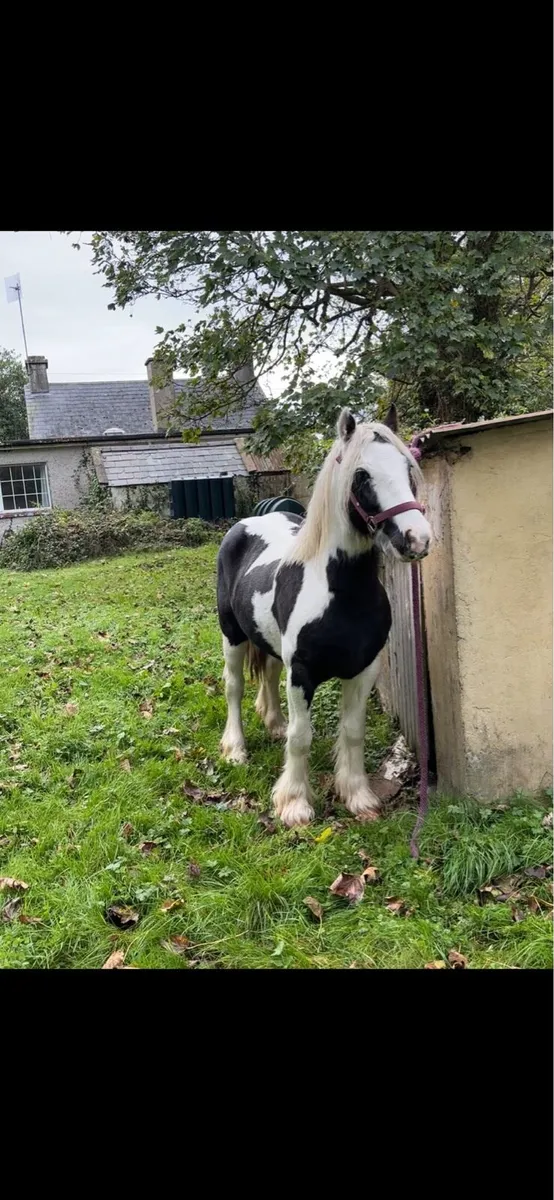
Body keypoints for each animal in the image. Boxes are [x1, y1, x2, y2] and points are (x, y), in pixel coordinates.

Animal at [216, 404, 432, 828]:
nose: (417, 539)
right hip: (231, 634)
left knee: (267, 674)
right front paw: (294, 804)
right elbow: (301, 737)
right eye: (361, 475)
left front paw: (359, 796)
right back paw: (235, 748)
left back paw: (273, 723)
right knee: (234, 686)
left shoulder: (364, 669)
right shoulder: (302, 673)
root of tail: (247, 524)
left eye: (406, 465)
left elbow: (352, 732)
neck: (340, 594)